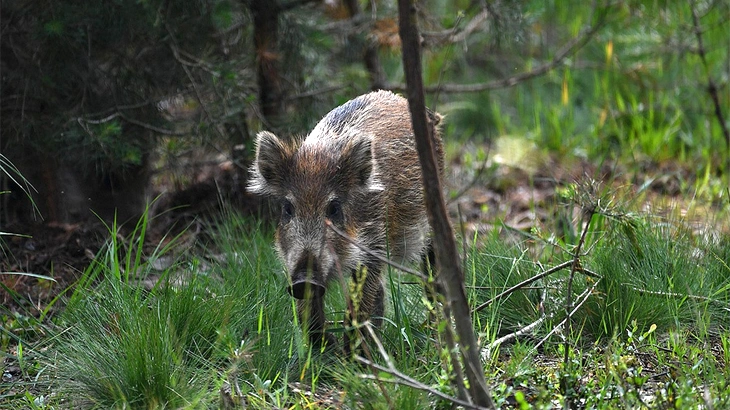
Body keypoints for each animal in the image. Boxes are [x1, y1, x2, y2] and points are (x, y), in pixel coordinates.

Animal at [248, 90, 444, 349]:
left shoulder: (374, 246)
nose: (305, 280)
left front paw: (350, 355)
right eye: (288, 208)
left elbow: (361, 302)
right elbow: (307, 312)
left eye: (334, 208)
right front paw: (327, 349)